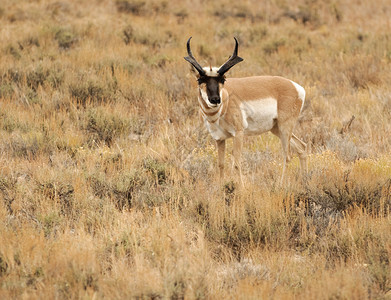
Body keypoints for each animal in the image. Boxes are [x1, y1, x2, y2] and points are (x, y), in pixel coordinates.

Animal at [185, 36, 308, 184]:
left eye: (222, 79)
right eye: (199, 79)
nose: (215, 99)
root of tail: (296, 86)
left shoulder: (238, 134)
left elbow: (237, 164)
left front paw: (240, 187)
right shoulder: (219, 138)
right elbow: (221, 164)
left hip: (285, 128)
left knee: (287, 155)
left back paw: (281, 184)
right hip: (276, 128)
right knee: (301, 147)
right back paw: (305, 180)